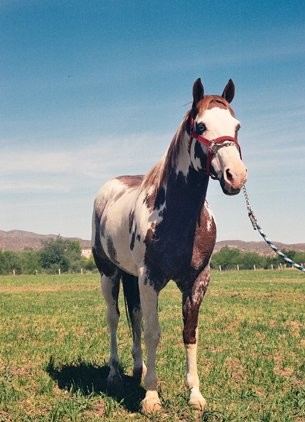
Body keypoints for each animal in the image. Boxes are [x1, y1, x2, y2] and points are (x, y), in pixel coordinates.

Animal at [91, 77, 247, 414]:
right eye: (200, 126)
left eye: (237, 126)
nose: (236, 176)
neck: (178, 217)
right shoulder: (151, 279)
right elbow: (153, 333)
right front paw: (151, 397)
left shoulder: (197, 281)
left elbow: (189, 332)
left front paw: (195, 394)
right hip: (108, 273)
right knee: (114, 318)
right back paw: (114, 373)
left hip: (130, 277)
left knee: (135, 317)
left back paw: (138, 370)